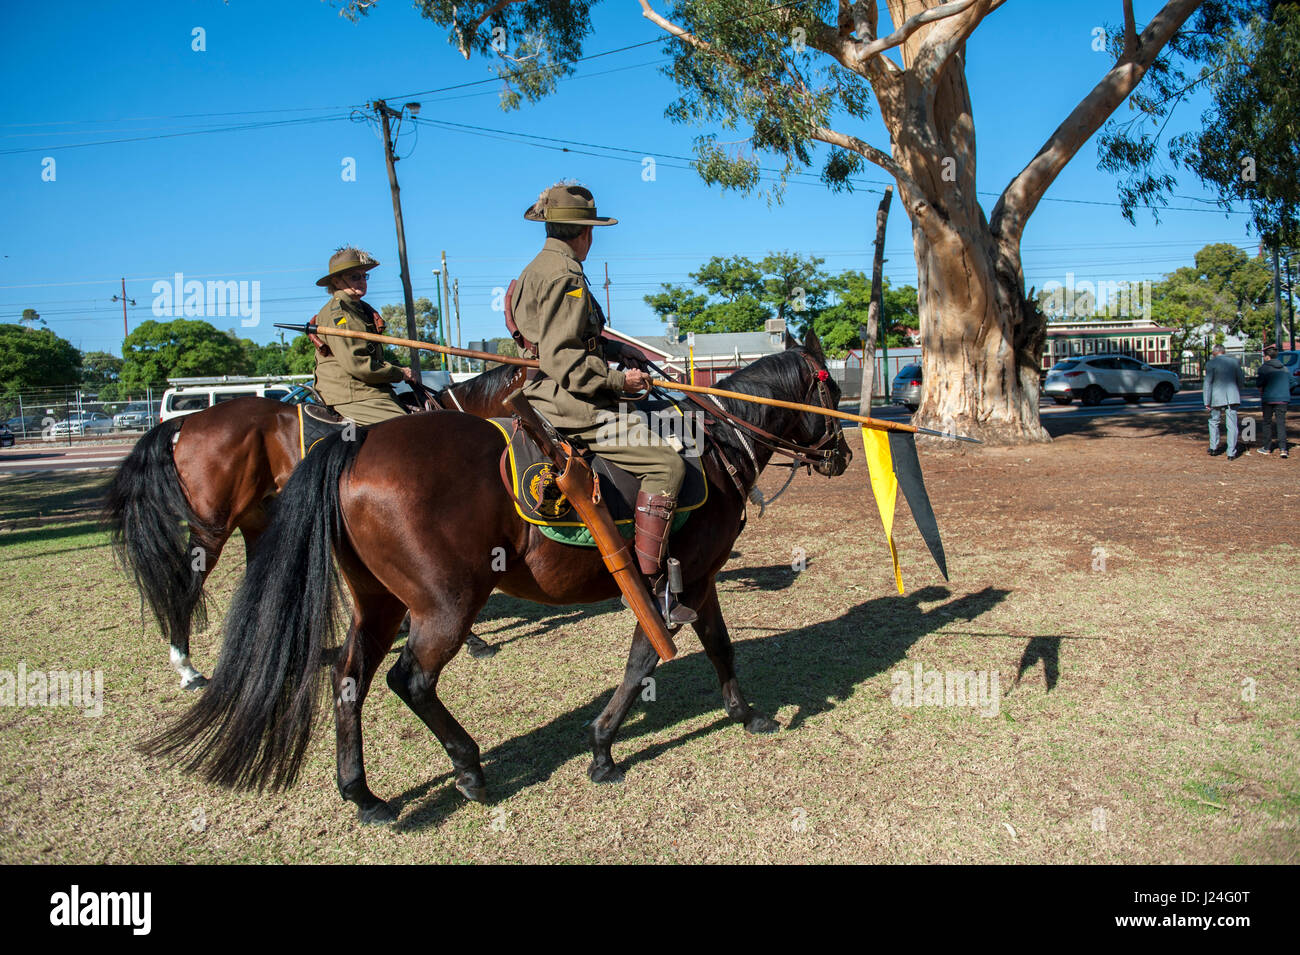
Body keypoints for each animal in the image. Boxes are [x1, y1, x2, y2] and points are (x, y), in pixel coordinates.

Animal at [106, 363, 520, 686]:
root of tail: (188, 420)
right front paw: (474, 641)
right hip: (212, 526)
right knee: (188, 582)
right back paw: (187, 667)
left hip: (255, 519)